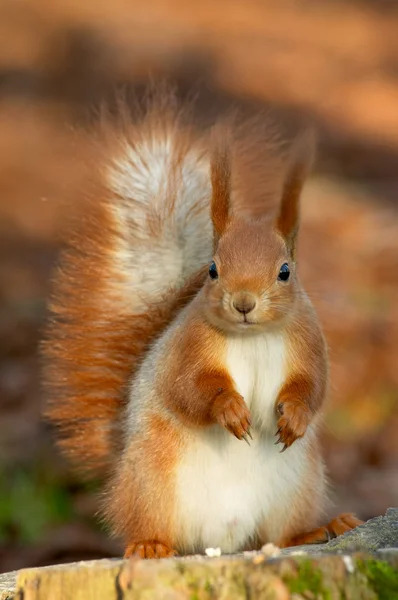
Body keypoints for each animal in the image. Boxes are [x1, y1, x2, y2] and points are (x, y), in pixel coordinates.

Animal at [42, 89, 360, 556]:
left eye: (285, 271)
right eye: (212, 269)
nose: (243, 302)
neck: (252, 337)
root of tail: (221, 539)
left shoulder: (309, 343)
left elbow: (313, 386)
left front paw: (296, 416)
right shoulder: (188, 346)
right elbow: (189, 386)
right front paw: (230, 409)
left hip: (299, 483)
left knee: (280, 535)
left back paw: (319, 529)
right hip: (152, 480)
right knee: (148, 524)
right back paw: (151, 546)